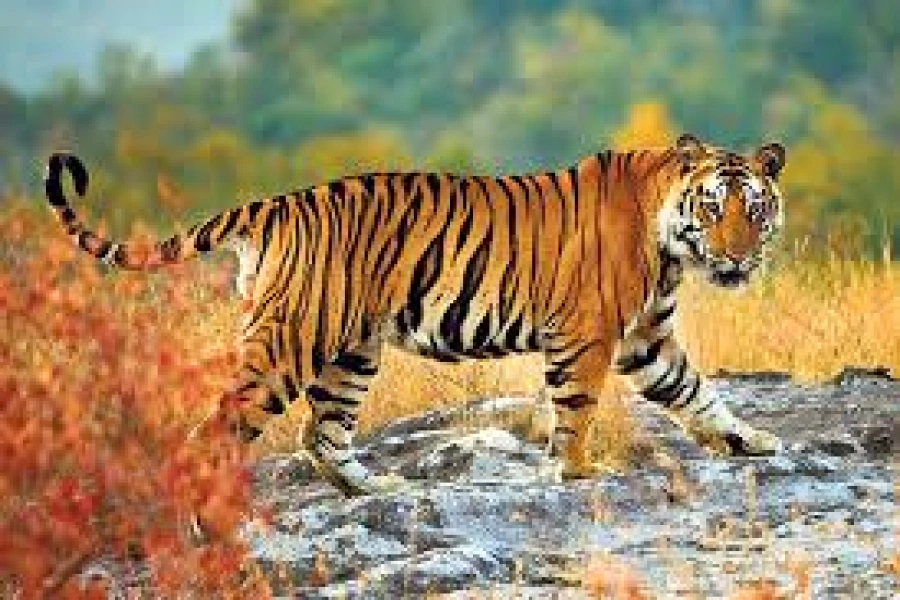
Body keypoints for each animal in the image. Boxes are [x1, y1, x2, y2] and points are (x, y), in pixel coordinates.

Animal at [44, 133, 786, 496]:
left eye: (755, 209)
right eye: (713, 208)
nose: (736, 258)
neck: (670, 246)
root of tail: (275, 203)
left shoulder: (646, 337)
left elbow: (696, 392)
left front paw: (751, 441)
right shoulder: (587, 334)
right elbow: (576, 409)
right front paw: (575, 473)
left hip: (350, 351)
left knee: (322, 433)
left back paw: (373, 487)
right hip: (290, 342)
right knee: (218, 429)